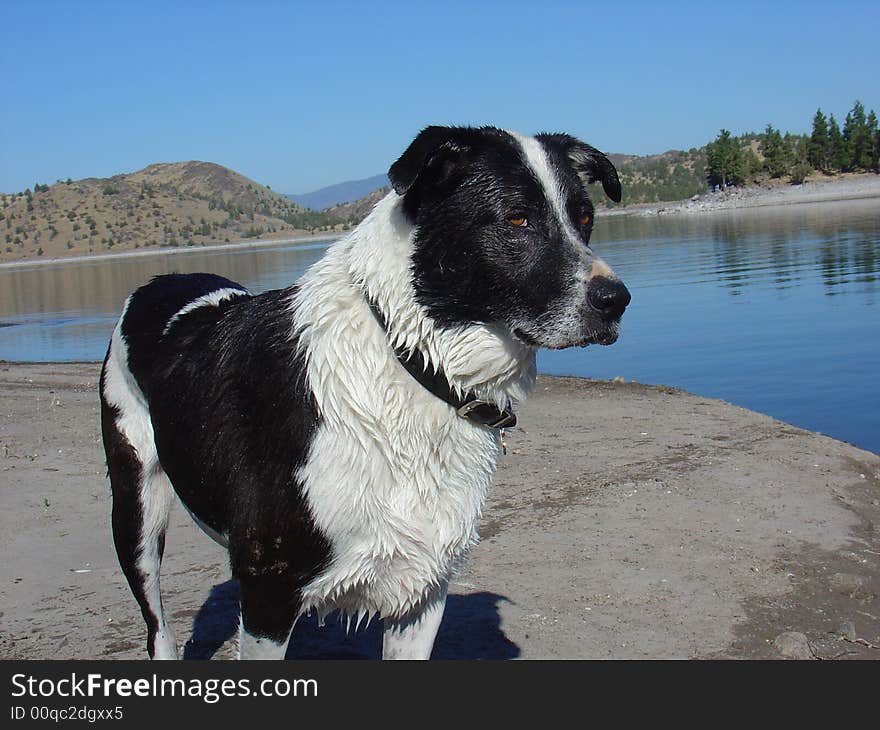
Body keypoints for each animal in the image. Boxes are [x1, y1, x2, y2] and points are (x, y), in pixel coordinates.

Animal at [99, 126, 628, 660]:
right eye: (518, 218)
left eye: (585, 218)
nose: (617, 300)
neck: (411, 360)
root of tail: (159, 281)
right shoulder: (269, 592)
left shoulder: (422, 591)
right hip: (136, 511)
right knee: (157, 623)